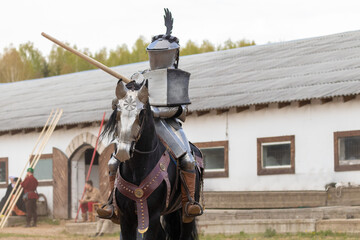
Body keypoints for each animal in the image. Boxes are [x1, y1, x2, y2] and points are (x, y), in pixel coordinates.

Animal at [102, 80, 202, 240]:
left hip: (186, 213)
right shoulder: (126, 218)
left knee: (187, 162)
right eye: (117, 110)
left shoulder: (152, 215)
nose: (123, 151)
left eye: (142, 113)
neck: (137, 169)